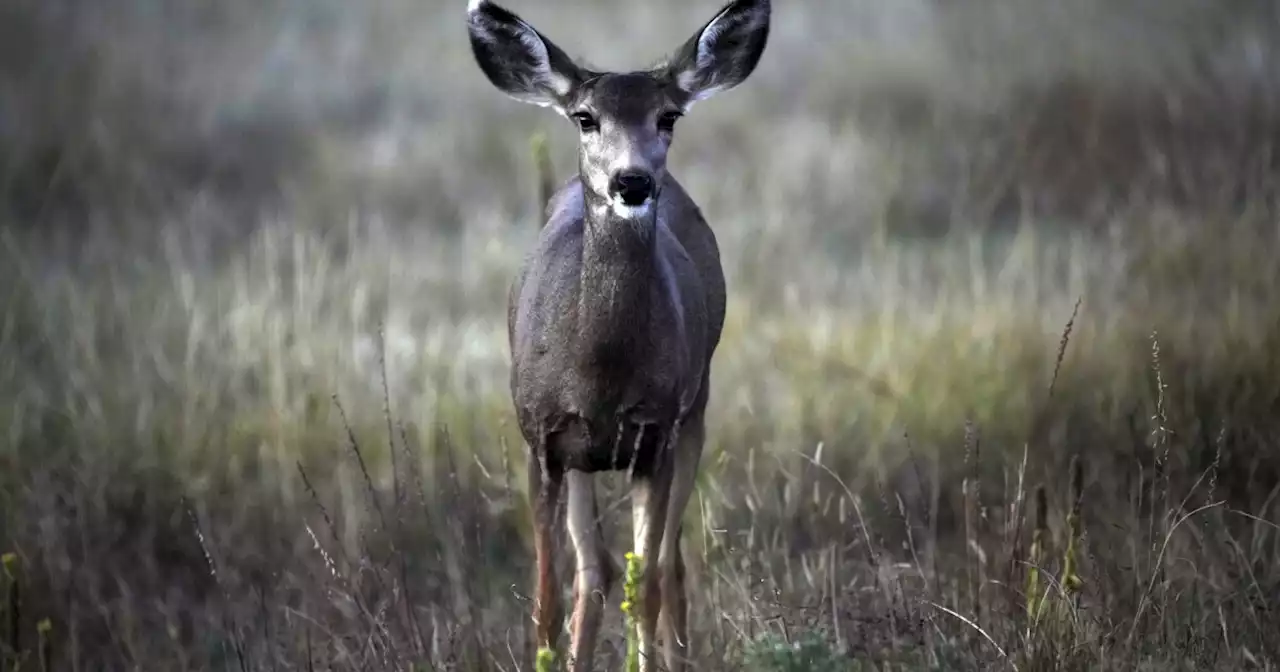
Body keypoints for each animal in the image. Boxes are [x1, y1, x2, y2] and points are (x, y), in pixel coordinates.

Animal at [465, 2, 768, 665]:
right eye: (585, 118)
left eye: (668, 115)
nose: (632, 181)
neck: (599, 374)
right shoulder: (541, 439)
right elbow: (549, 600)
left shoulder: (655, 435)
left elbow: (646, 585)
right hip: (584, 458)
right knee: (596, 572)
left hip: (695, 410)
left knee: (666, 569)